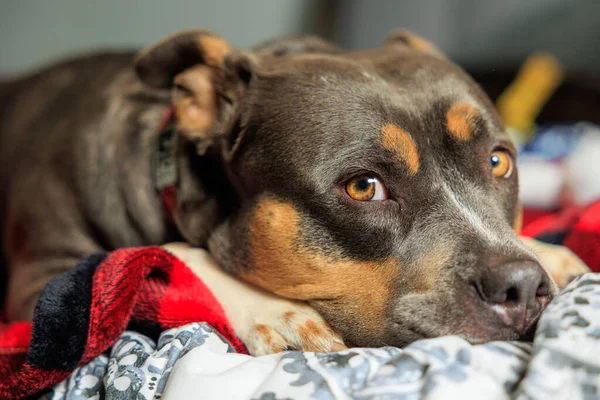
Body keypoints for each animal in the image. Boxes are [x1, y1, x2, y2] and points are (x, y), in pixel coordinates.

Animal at [0, 27, 592, 354]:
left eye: (498, 161)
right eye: (363, 187)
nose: (521, 286)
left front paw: (547, 251)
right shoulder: (52, 294)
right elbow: (153, 253)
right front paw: (270, 311)